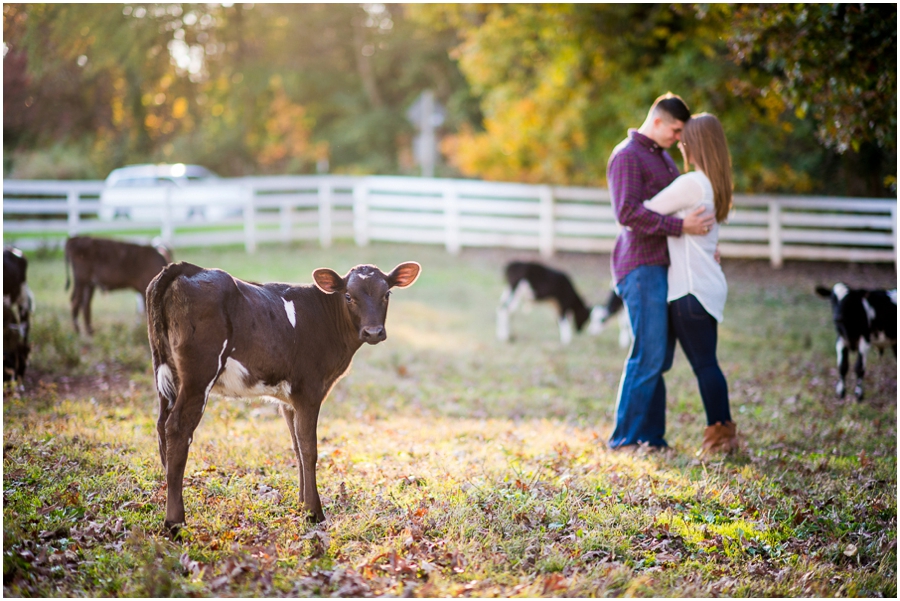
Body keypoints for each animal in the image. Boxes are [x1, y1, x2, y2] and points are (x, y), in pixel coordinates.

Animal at [148, 258, 422, 528]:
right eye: (348, 296)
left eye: (386, 293)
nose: (373, 332)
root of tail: (185, 268)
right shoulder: (309, 390)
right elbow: (309, 449)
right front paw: (314, 513)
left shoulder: (290, 400)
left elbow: (297, 447)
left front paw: (302, 504)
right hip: (199, 372)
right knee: (178, 428)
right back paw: (175, 521)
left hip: (166, 371)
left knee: (162, 426)